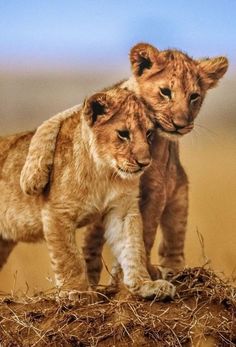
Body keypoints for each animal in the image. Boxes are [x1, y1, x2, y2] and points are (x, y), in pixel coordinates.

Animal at [0, 88, 175, 300]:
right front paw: (77, 292)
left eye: (149, 133)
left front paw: (145, 285)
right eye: (123, 134)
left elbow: (133, 246)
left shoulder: (123, 209)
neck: (104, 173)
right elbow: (69, 257)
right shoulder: (57, 212)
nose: (145, 163)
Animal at [20, 42, 229, 286]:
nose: (180, 124)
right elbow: (49, 125)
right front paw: (32, 178)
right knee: (92, 242)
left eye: (194, 97)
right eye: (165, 92)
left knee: (172, 243)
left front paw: (139, 273)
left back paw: (173, 272)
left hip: (179, 196)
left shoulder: (157, 187)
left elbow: (145, 232)